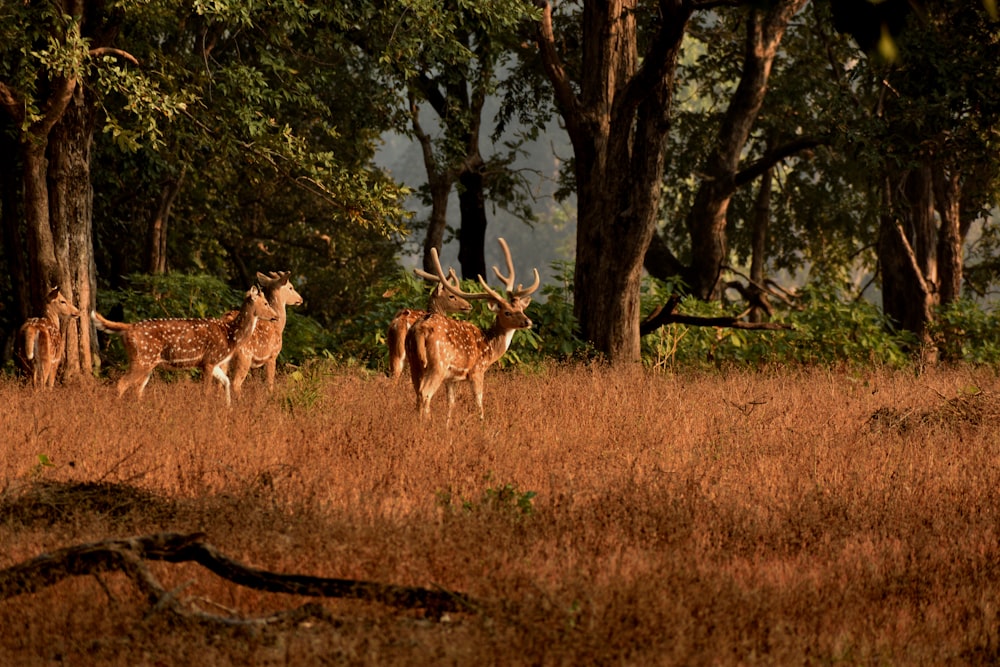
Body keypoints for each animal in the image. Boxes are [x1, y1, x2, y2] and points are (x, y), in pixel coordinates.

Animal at [93, 284, 278, 404]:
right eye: (265, 303)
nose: (276, 316)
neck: (230, 335)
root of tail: (128, 328)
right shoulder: (210, 360)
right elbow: (206, 391)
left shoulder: (214, 362)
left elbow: (226, 382)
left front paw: (228, 409)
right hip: (142, 359)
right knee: (121, 384)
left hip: (147, 363)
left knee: (137, 389)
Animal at [227, 270, 304, 400]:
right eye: (291, 287)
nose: (301, 299)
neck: (278, 326)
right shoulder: (273, 355)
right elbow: (270, 382)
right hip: (243, 357)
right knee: (235, 383)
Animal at [402, 237, 540, 420]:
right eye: (507, 312)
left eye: (522, 309)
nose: (528, 321)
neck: (489, 348)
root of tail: (420, 330)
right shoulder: (477, 370)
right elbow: (479, 403)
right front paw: (482, 422)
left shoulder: (452, 379)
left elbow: (451, 404)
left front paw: (448, 424)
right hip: (438, 363)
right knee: (425, 393)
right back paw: (427, 423)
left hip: (414, 362)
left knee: (418, 393)